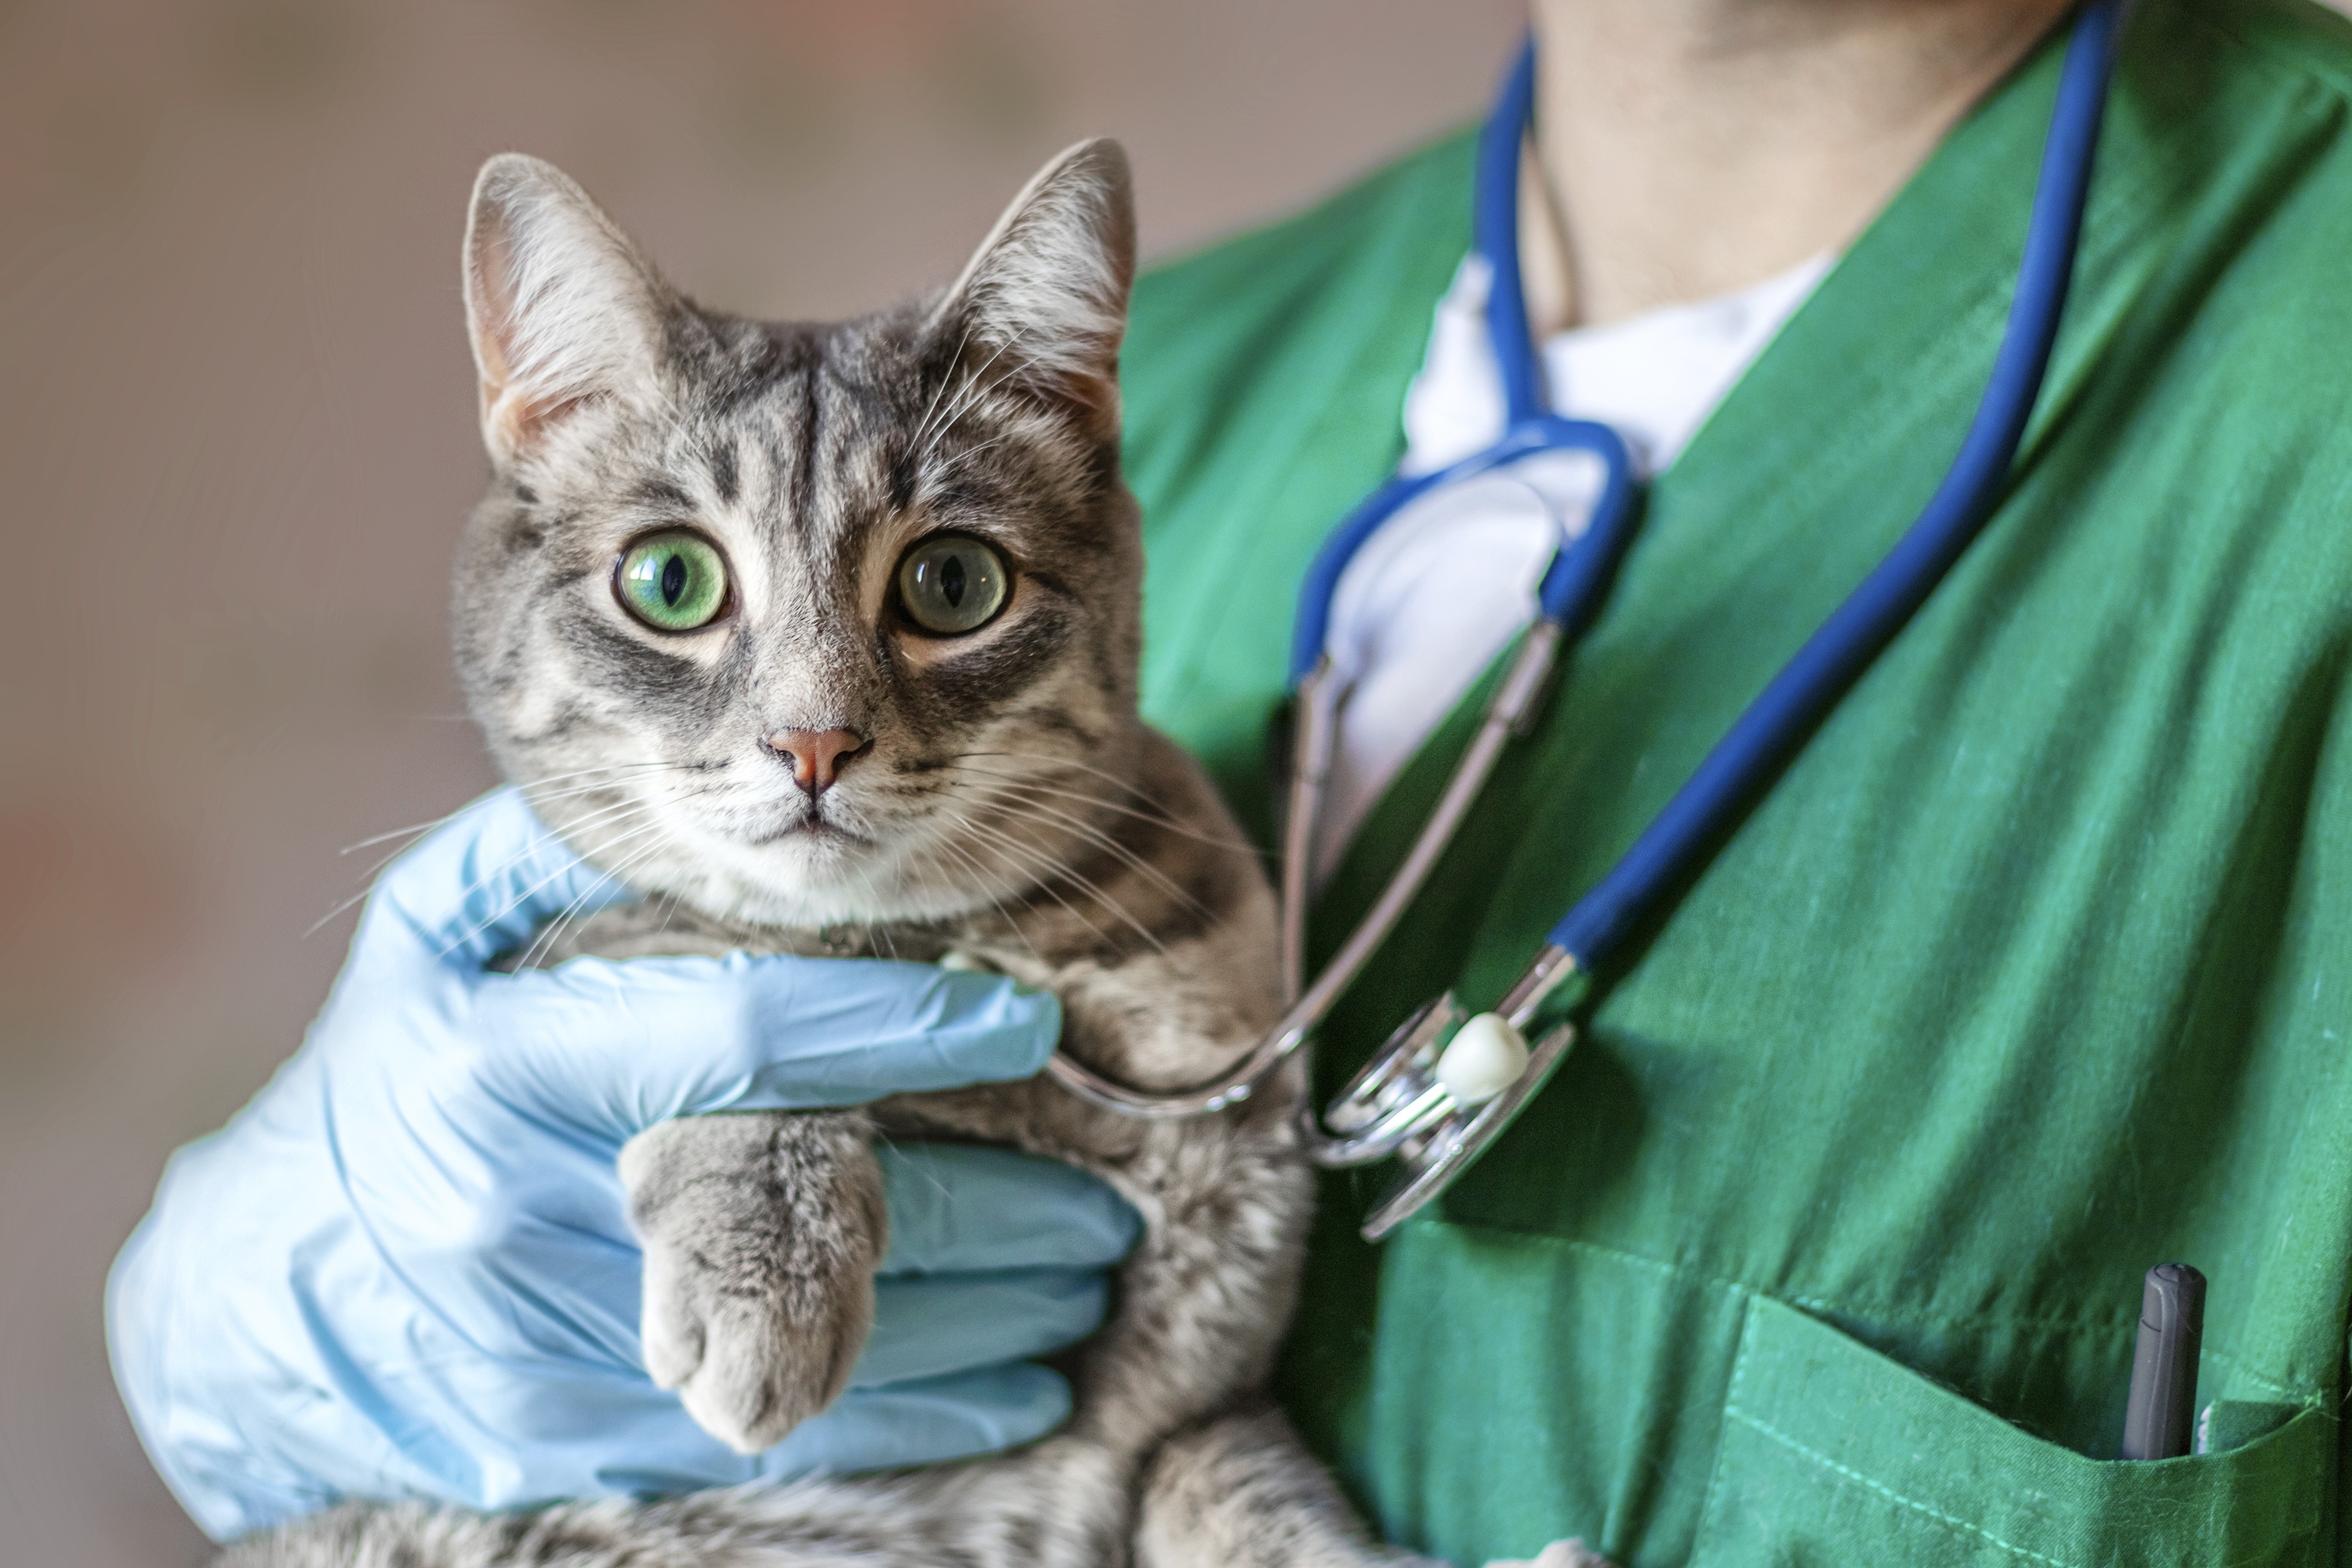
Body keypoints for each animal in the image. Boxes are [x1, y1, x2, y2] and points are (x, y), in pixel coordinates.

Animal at [221, 141, 1599, 1568]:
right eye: (670, 582)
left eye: (952, 584)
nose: (813, 742)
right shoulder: (579, 954)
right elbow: (707, 972)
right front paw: (767, 1257)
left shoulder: (1177, 1423)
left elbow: (1258, 1515)